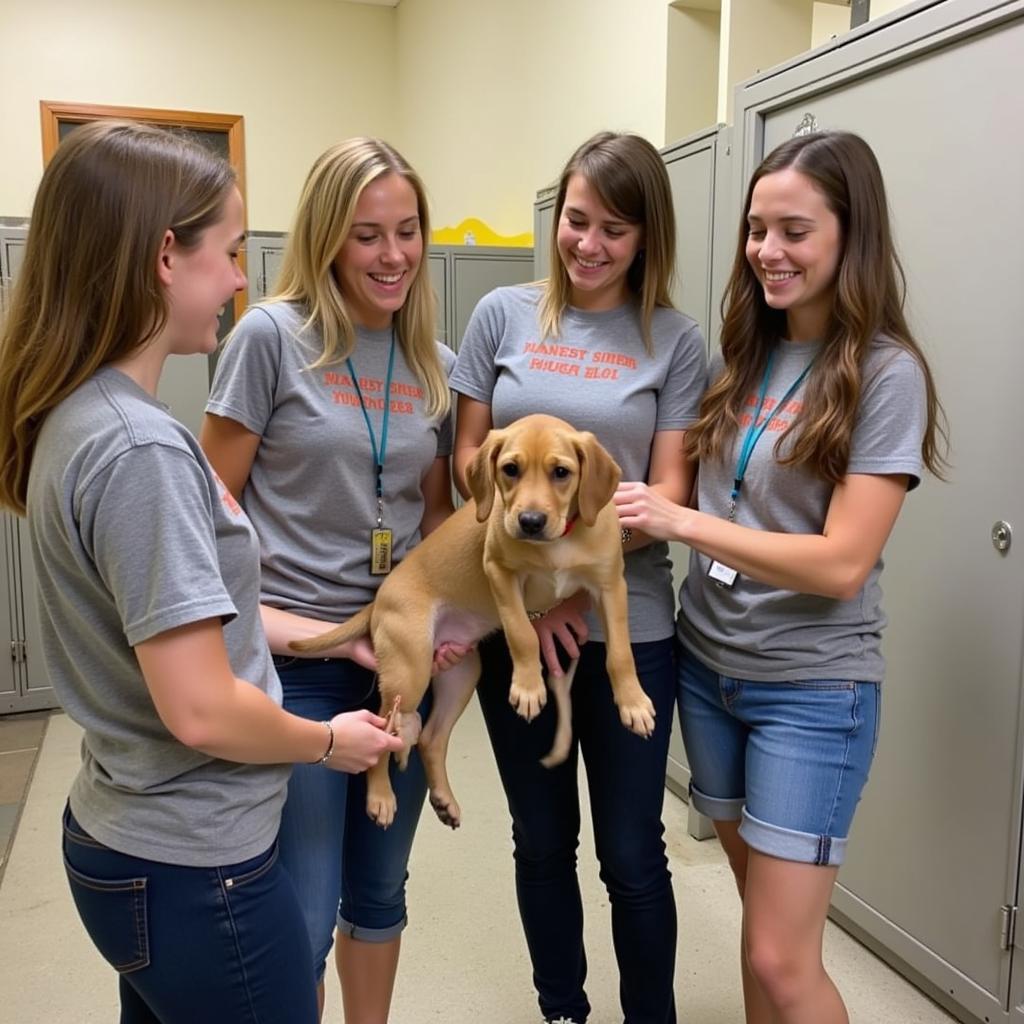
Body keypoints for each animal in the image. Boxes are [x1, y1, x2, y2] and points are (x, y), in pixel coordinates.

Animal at [292, 411, 651, 827]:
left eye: (561, 472)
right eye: (510, 469)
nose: (529, 521)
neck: (560, 540)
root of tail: (380, 598)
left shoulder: (610, 587)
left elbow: (621, 653)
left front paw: (633, 703)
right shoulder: (501, 573)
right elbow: (523, 633)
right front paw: (529, 687)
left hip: (460, 673)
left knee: (429, 737)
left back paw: (444, 800)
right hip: (409, 669)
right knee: (382, 730)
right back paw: (380, 796)